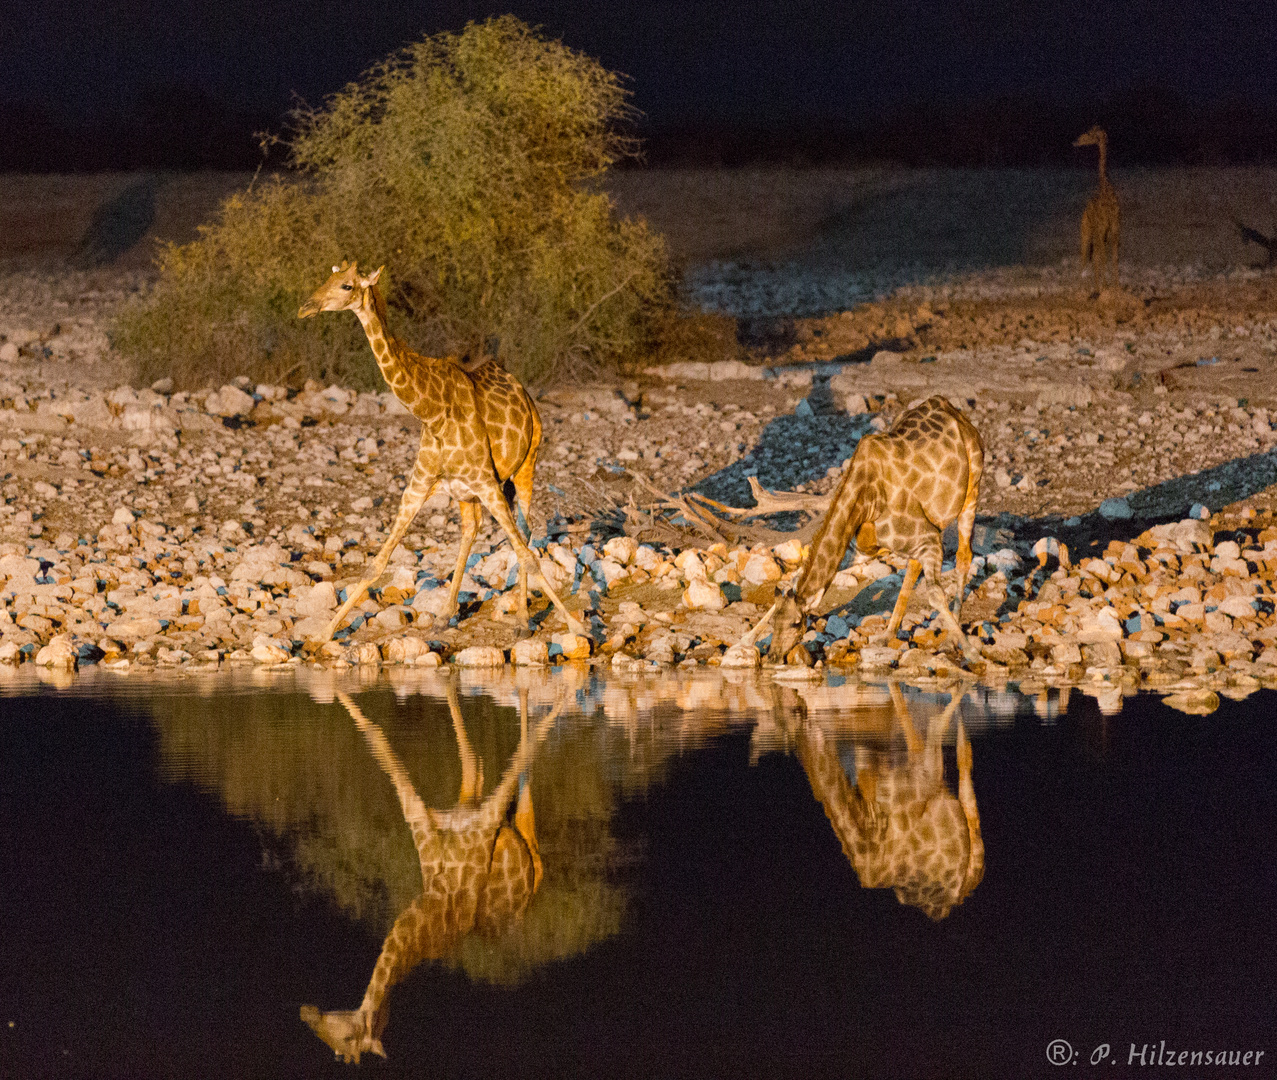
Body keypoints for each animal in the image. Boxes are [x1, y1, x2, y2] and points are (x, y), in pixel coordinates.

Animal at [296, 261, 584, 643]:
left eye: (346, 286)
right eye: (328, 278)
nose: (306, 307)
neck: (431, 412)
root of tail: (524, 392)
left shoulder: (487, 482)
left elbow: (528, 556)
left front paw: (577, 626)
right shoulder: (419, 485)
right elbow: (377, 563)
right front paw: (325, 632)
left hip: (526, 466)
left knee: (526, 533)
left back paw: (522, 620)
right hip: (467, 493)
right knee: (472, 530)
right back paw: (446, 614)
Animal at [301, 684, 566, 1067]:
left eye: (347, 1040)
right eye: (334, 1050)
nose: (307, 1013)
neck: (439, 891)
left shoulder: (486, 817)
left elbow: (520, 755)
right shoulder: (432, 814)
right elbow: (379, 737)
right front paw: (335, 685)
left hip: (520, 829)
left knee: (519, 764)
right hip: (481, 807)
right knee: (476, 764)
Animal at [1072, 127, 1123, 292]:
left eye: (1089, 134)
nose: (1076, 141)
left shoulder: (1114, 227)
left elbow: (1114, 256)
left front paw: (1116, 287)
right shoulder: (1102, 228)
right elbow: (1104, 257)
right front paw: (1105, 286)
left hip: (1097, 234)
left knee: (1094, 256)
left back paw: (1095, 287)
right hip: (1086, 232)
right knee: (1085, 256)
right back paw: (1082, 289)